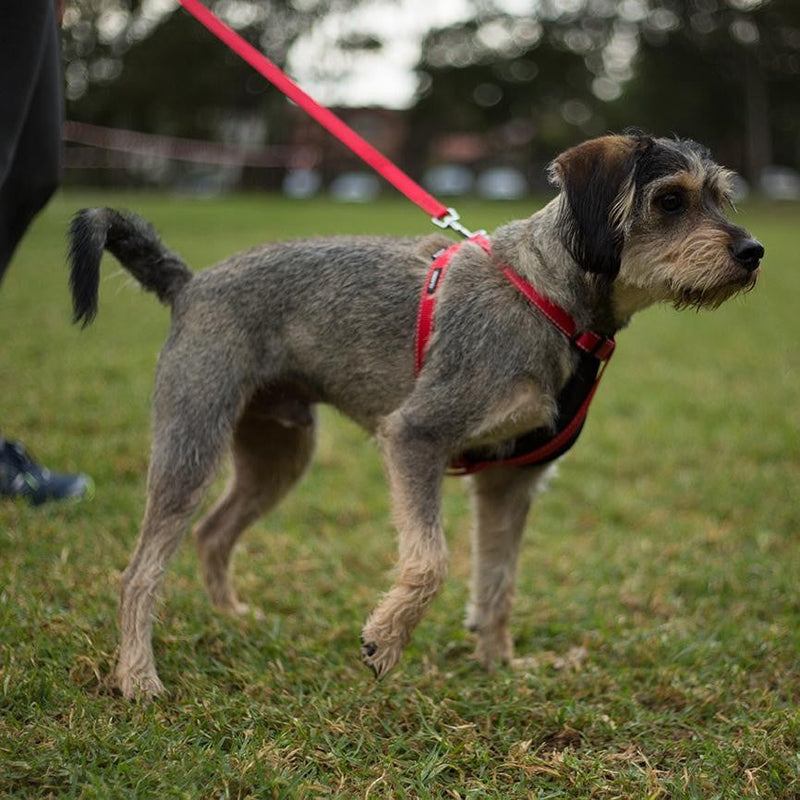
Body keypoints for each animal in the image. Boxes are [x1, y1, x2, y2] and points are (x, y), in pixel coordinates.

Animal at [69, 128, 764, 696]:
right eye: (670, 201)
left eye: (720, 197)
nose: (753, 251)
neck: (547, 299)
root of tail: (190, 285)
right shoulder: (416, 437)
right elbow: (431, 561)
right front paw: (387, 638)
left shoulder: (510, 482)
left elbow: (498, 584)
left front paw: (500, 665)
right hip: (192, 444)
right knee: (139, 573)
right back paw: (138, 678)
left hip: (278, 455)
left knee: (214, 533)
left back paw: (231, 619)